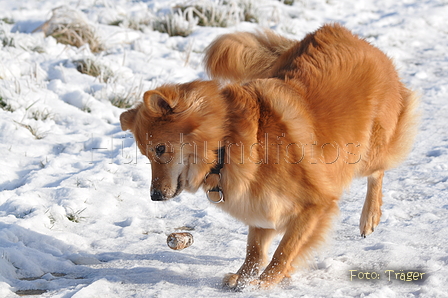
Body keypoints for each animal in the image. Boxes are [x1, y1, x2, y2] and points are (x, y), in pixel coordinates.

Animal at [120, 24, 420, 290]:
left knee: (377, 172)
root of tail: (347, 34)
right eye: (145, 154)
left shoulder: (316, 204)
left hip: (365, 152)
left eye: (160, 149)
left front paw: (265, 282)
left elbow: (285, 250)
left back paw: (369, 217)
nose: (154, 196)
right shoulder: (260, 201)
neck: (227, 141)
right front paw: (243, 278)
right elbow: (254, 249)